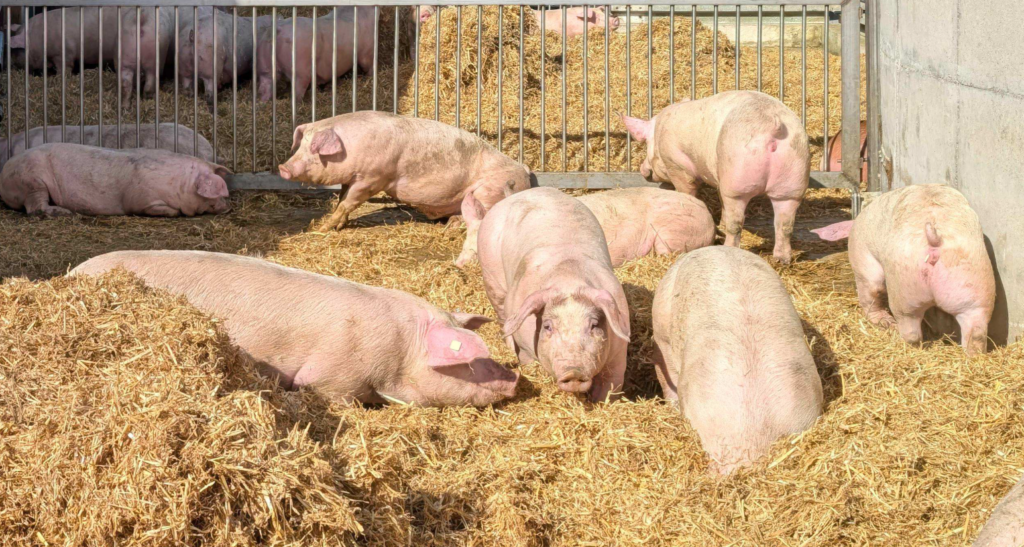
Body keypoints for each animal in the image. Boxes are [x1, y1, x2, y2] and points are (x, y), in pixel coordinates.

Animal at [0, 143, 231, 217]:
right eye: (215, 194)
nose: (227, 206)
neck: (182, 184)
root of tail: (4, 172)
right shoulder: (142, 200)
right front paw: (175, 212)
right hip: (32, 180)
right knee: (34, 208)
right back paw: (64, 213)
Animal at [278, 111, 532, 267]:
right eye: (300, 145)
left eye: (314, 148)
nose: (283, 168)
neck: (353, 148)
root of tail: (525, 173)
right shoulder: (352, 178)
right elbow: (342, 199)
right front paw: (339, 225)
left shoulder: (373, 178)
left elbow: (348, 202)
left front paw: (323, 228)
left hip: (488, 191)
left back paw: (451, 227)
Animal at [476, 187, 631, 402]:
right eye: (548, 326)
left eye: (593, 325)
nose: (573, 372)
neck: (569, 279)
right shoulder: (525, 346)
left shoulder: (619, 352)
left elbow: (610, 387)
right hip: (491, 277)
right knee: (502, 316)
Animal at [622, 90, 811, 264]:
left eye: (646, 142)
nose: (643, 170)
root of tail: (773, 125)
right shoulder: (720, 179)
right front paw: (720, 224)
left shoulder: (677, 165)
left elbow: (687, 190)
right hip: (792, 179)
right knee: (785, 224)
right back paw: (781, 260)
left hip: (737, 180)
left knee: (737, 223)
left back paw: (729, 247)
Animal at [810, 184, 996, 355]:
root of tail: (935, 241)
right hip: (974, 280)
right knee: (976, 331)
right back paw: (972, 354)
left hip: (903, 287)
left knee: (899, 318)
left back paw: (896, 332)